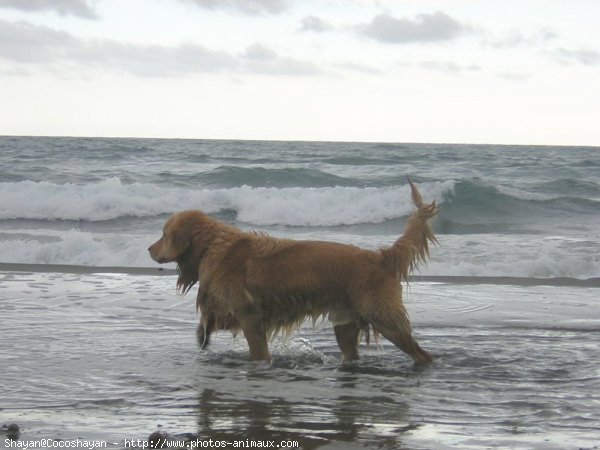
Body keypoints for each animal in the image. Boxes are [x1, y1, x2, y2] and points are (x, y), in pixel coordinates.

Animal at [149, 180, 440, 366]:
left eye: (163, 234)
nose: (149, 249)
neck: (212, 245)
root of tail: (381, 257)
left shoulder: (250, 316)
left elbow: (257, 350)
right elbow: (210, 319)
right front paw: (203, 335)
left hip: (385, 318)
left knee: (422, 354)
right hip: (345, 324)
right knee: (351, 352)